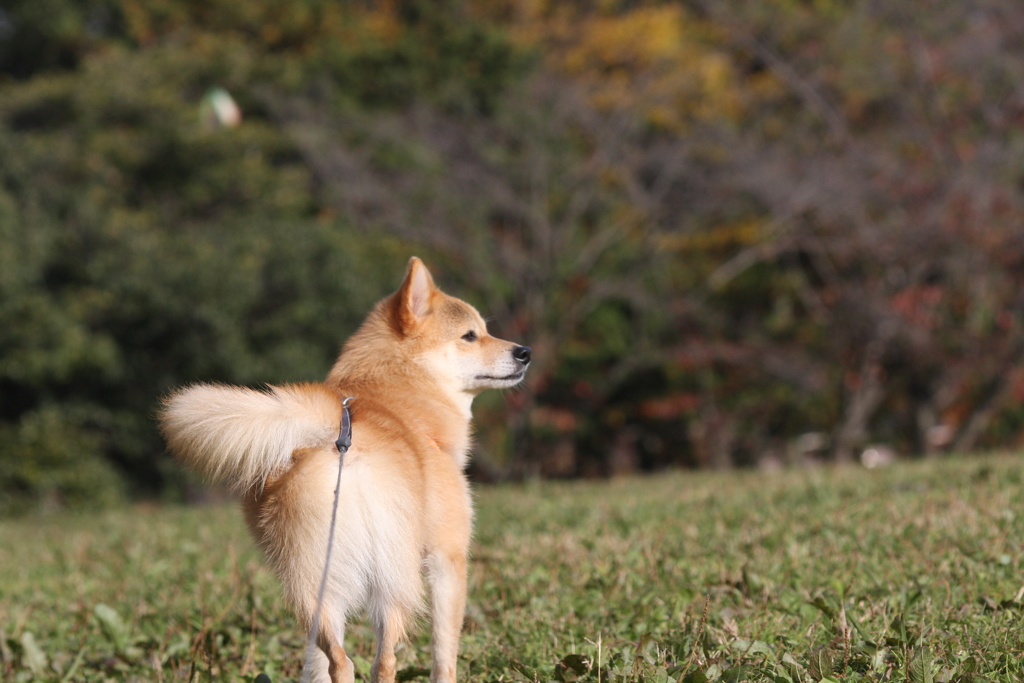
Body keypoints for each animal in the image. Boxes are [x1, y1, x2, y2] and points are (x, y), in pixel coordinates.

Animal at [160, 259, 532, 683]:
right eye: (470, 335)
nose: (525, 352)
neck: (403, 393)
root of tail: (340, 439)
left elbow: (316, 662)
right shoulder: (447, 558)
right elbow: (444, 652)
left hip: (315, 587)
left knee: (339, 660)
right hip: (394, 580)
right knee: (383, 661)